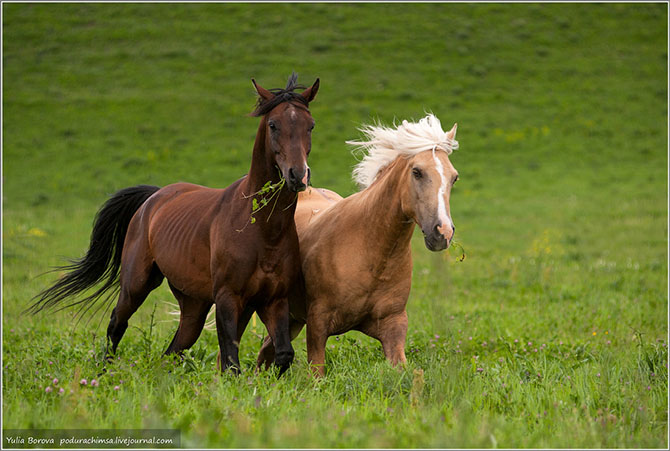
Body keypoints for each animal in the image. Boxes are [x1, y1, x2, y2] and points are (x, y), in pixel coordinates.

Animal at [32, 73, 322, 374]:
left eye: (310, 125)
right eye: (273, 124)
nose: (298, 175)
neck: (262, 230)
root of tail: (153, 198)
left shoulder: (274, 300)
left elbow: (283, 354)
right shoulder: (228, 298)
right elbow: (231, 360)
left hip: (194, 304)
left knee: (174, 349)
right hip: (136, 285)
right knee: (117, 324)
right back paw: (105, 371)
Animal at [255, 115, 460, 376]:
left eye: (454, 177)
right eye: (417, 172)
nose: (442, 232)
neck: (369, 250)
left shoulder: (394, 325)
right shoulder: (318, 324)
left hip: (291, 319)